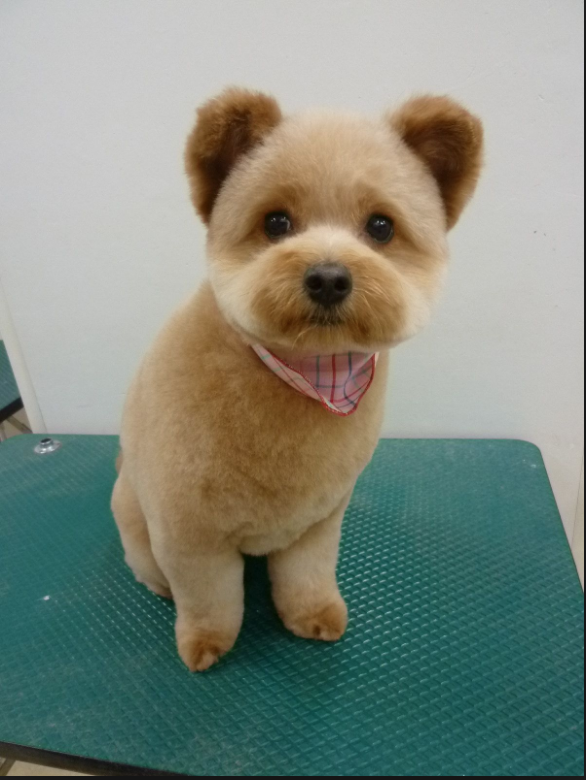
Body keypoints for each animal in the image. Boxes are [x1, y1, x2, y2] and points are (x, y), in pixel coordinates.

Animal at [112, 85, 482, 672]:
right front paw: (205, 643)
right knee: (149, 566)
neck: (308, 372)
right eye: (276, 223)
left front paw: (313, 616)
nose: (328, 277)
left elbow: (307, 577)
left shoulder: (318, 521)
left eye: (381, 227)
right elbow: (209, 601)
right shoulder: (190, 537)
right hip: (133, 512)